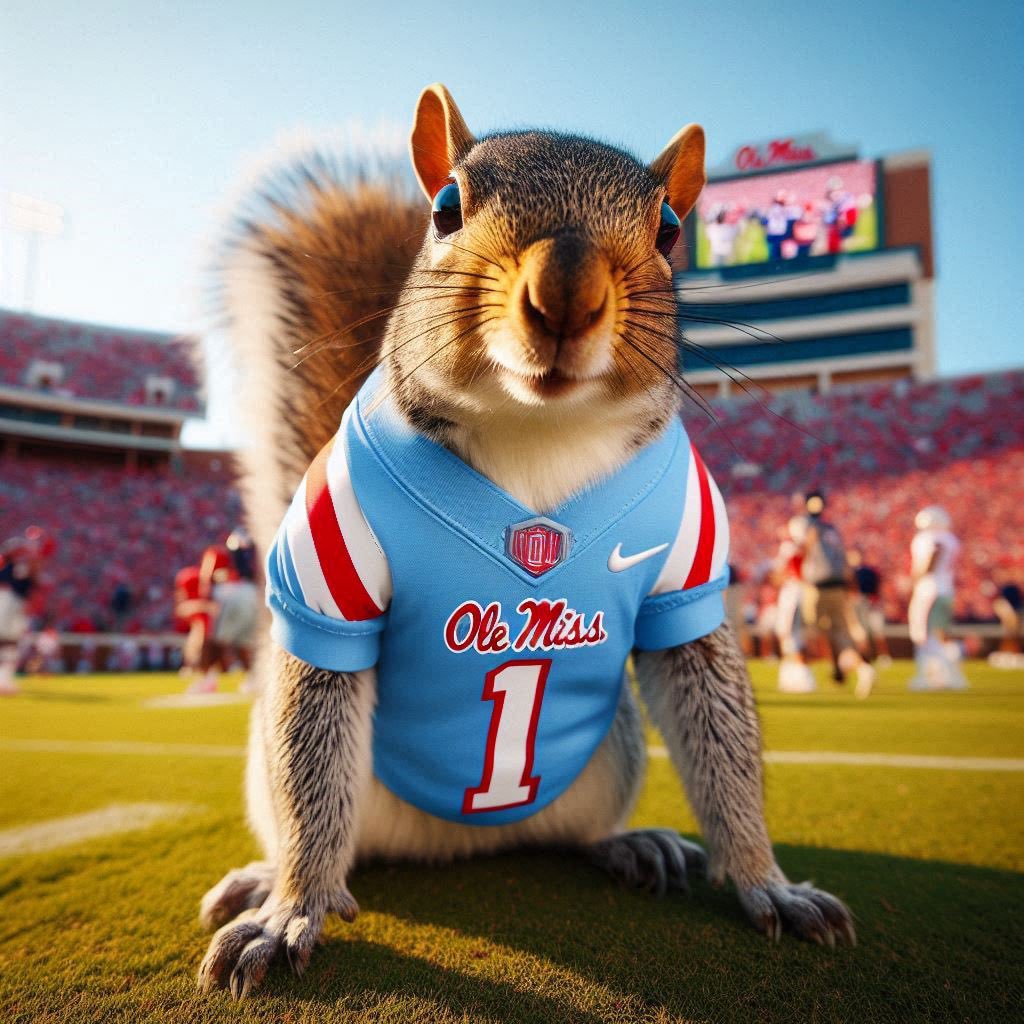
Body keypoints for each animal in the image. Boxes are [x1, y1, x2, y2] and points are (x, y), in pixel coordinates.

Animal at [196, 84, 855, 999]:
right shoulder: (331, 578)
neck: (536, 433)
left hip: (608, 760)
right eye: (445, 208)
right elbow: (312, 754)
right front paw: (290, 912)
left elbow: (723, 743)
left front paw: (769, 882)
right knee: (313, 813)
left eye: (669, 229)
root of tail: (465, 847)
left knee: (570, 834)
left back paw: (633, 845)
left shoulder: (687, 581)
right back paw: (275, 879)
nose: (566, 293)